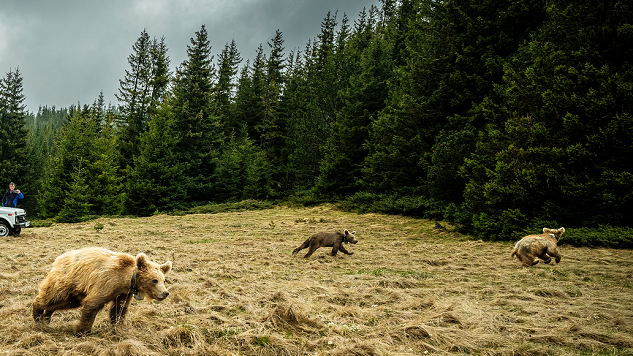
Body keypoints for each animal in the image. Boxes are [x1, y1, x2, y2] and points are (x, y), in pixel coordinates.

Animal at [31, 246, 170, 336]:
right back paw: (37, 315)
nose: (165, 293)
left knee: (62, 303)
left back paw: (47, 317)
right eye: (154, 280)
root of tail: (59, 258)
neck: (126, 280)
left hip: (74, 294)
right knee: (52, 296)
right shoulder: (106, 282)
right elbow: (93, 304)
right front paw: (83, 331)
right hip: (66, 282)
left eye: (164, 280)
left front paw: (117, 326)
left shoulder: (124, 292)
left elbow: (119, 308)